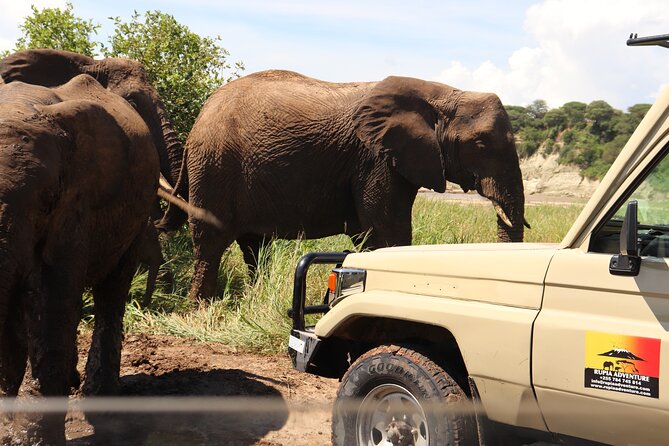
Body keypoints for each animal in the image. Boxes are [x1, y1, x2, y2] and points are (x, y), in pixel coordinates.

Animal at [0, 75, 160, 444]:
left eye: (47, 202)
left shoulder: (76, 201)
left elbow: (52, 299)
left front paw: (29, 440)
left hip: (136, 217)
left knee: (110, 293)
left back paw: (100, 402)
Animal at [165, 70, 528, 300]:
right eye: (481, 144)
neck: (441, 93)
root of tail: (200, 115)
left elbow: (368, 233)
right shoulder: (374, 157)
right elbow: (387, 229)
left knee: (254, 246)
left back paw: (254, 298)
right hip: (213, 166)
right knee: (210, 242)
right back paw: (201, 307)